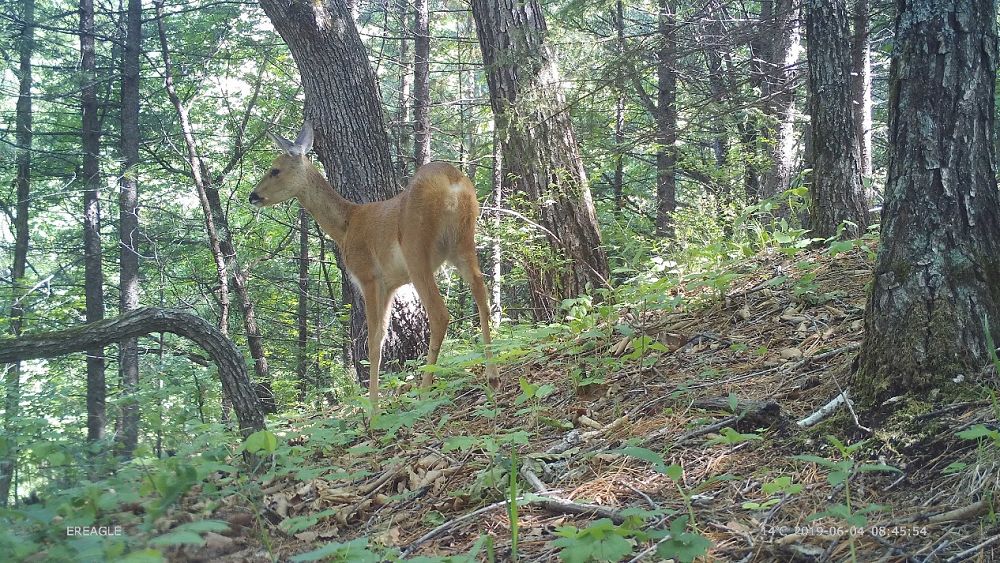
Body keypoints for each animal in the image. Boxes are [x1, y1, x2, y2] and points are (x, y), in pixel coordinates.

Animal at [250, 122, 500, 414]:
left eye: (275, 169)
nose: (253, 196)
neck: (346, 226)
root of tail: (453, 182)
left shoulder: (369, 276)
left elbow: (372, 342)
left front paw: (373, 408)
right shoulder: (390, 284)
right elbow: (381, 337)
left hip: (417, 250)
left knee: (440, 314)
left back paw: (425, 390)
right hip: (463, 242)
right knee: (482, 295)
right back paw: (492, 376)